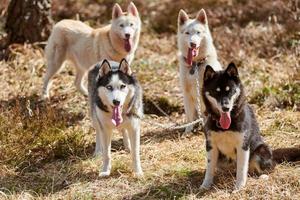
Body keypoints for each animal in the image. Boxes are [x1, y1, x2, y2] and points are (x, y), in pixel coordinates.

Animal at [200, 63, 300, 191]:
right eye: (216, 91)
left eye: (230, 91)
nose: (226, 108)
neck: (226, 126)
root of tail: (272, 153)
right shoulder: (211, 145)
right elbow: (209, 168)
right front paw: (205, 185)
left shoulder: (243, 145)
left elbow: (242, 169)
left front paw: (239, 187)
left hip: (260, 151)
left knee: (269, 168)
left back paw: (263, 177)